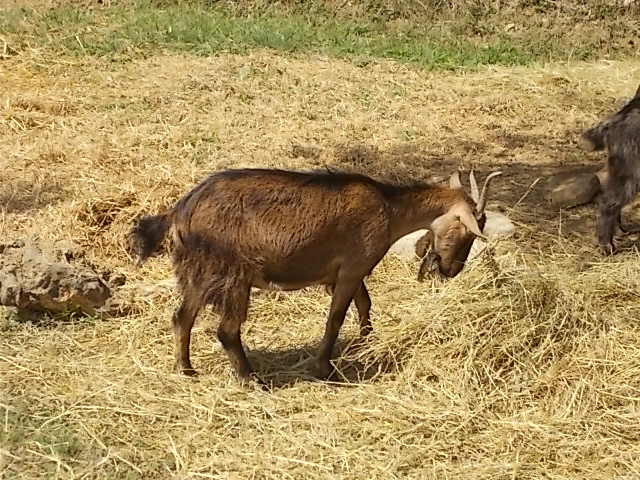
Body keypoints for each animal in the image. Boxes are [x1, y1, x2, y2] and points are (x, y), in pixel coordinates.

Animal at [129, 167, 501, 383]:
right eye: (469, 232)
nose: (452, 270)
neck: (389, 207)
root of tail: (181, 209)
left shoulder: (345, 272)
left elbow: (365, 303)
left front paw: (366, 342)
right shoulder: (353, 266)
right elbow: (336, 317)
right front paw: (325, 369)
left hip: (198, 273)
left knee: (182, 317)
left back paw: (187, 370)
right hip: (233, 275)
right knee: (226, 331)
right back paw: (251, 379)